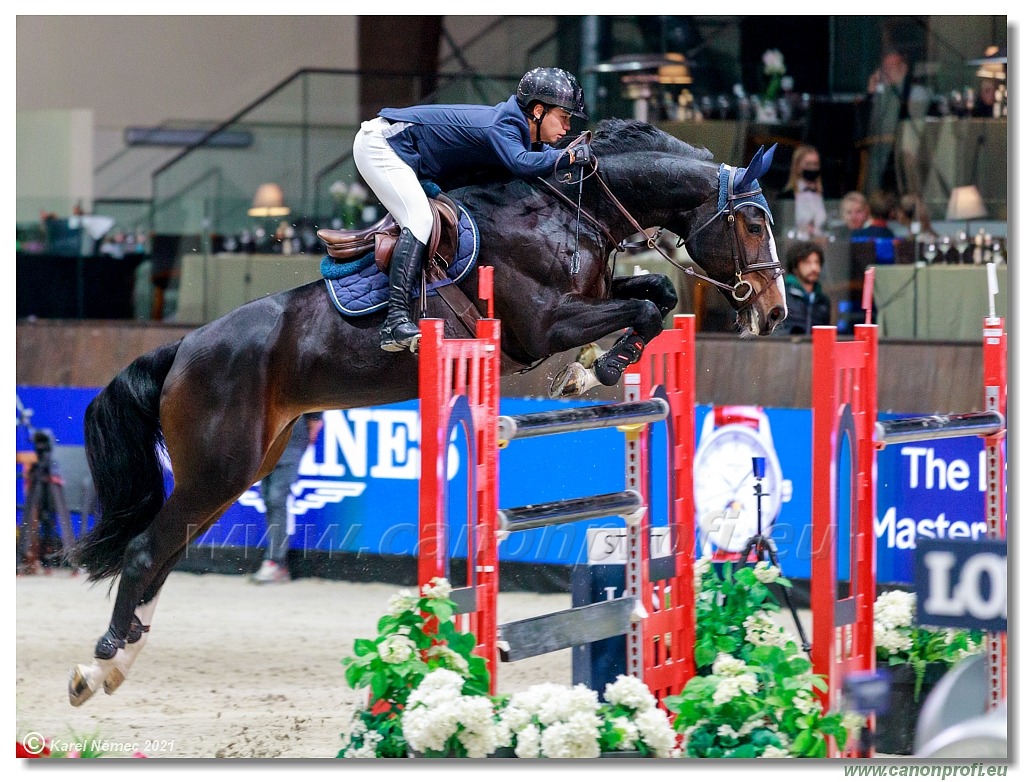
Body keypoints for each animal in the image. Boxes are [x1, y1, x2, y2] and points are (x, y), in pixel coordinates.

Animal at [66, 117, 782, 708]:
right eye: (752, 224)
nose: (774, 312)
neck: (573, 211)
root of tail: (183, 348)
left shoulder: (591, 298)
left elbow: (657, 293)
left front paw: (598, 366)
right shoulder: (544, 324)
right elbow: (641, 305)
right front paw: (599, 368)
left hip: (241, 466)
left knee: (165, 550)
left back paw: (118, 662)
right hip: (219, 467)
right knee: (145, 551)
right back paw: (97, 667)